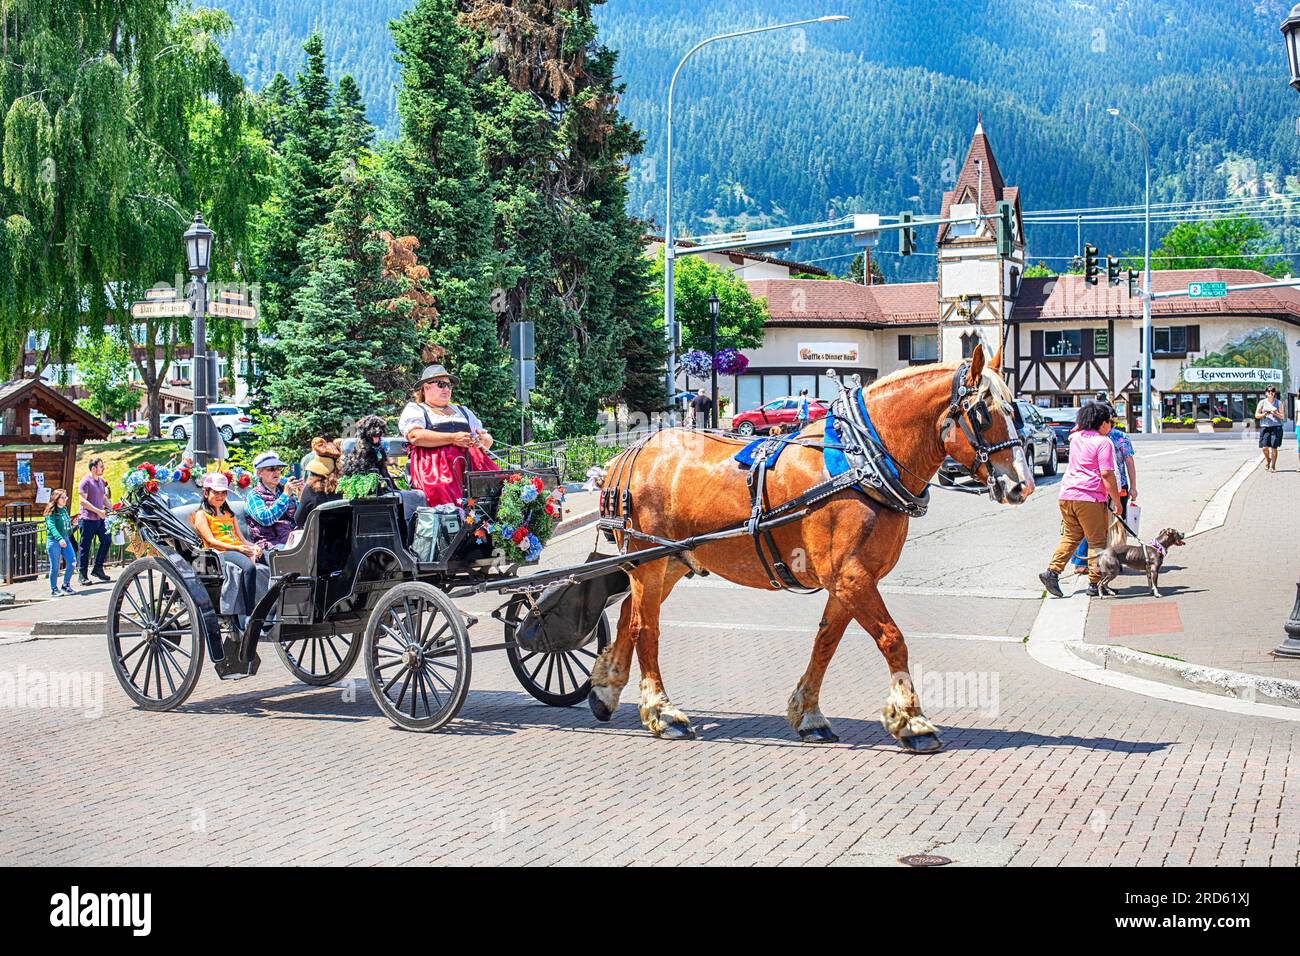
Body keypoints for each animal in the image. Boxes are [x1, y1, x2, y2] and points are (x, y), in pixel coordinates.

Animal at [592, 345, 1034, 754]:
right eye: (983, 413)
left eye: (1016, 410)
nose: (1022, 485)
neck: (862, 464)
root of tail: (630, 453)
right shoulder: (850, 576)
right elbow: (892, 639)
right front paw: (912, 721)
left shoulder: (848, 580)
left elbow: (826, 642)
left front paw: (809, 715)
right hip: (649, 562)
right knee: (645, 627)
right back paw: (662, 711)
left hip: (668, 561)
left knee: (630, 614)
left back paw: (605, 689)